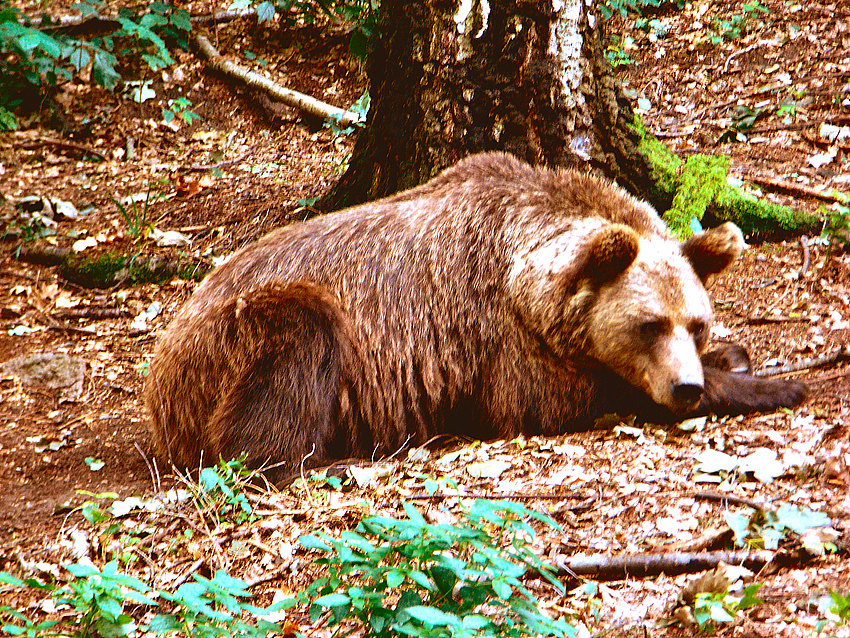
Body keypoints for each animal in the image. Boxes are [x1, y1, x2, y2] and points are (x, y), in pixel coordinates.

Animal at [144, 154, 800, 484]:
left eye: (696, 323)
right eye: (649, 324)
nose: (684, 387)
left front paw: (734, 358)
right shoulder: (498, 340)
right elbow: (550, 399)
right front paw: (773, 385)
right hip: (238, 339)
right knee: (294, 353)